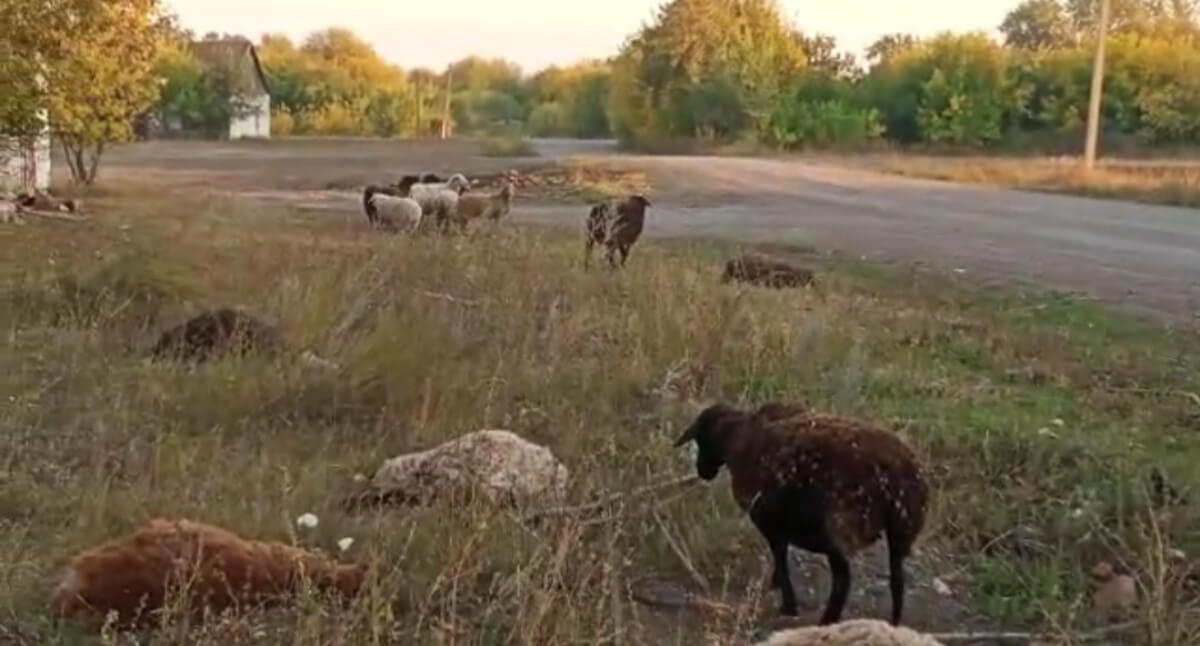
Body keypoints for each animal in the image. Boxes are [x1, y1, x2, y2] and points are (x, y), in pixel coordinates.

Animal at [676, 398, 926, 624]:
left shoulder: (769, 523)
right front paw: (777, 586)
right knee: (897, 581)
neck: (737, 438)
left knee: (843, 578)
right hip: (901, 530)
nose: (702, 472)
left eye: (700, 439)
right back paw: (893, 623)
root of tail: (897, 472)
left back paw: (827, 620)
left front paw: (788, 605)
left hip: (841, 527)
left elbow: (780, 556)